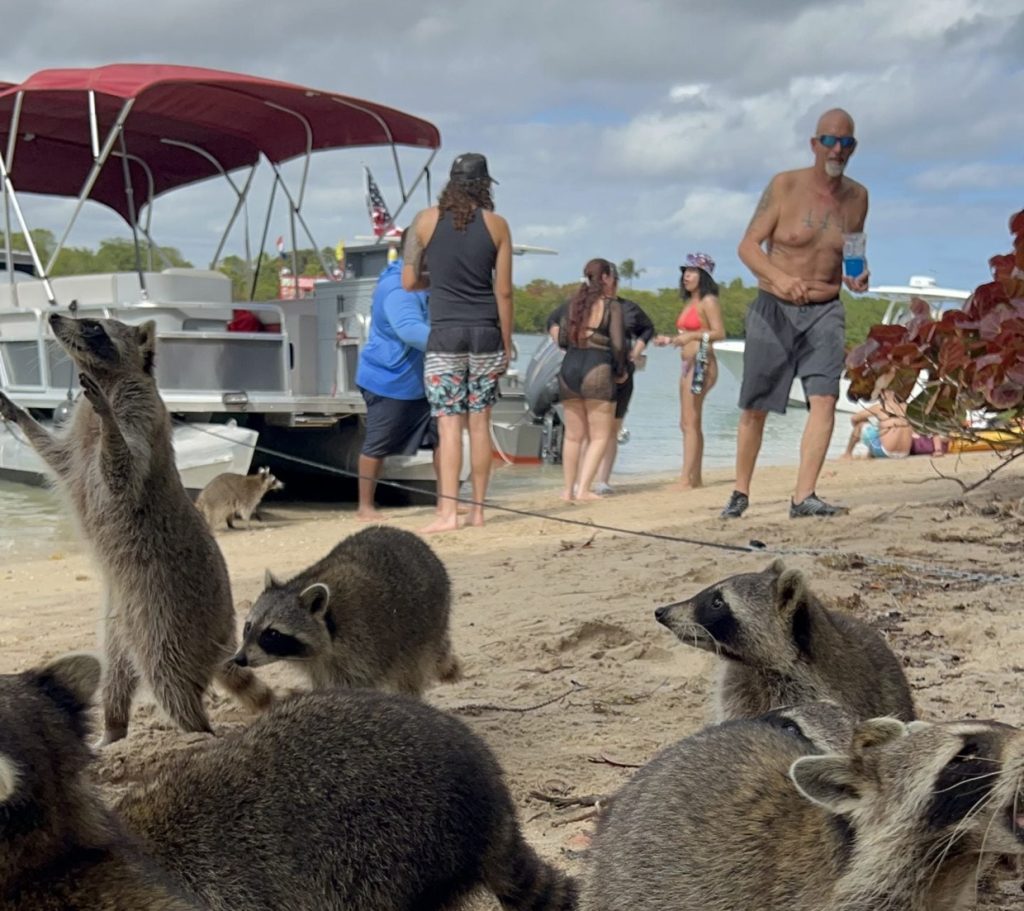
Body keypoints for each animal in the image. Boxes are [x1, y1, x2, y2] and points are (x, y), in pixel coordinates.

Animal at [0, 315, 272, 743]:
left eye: (92, 326)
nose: (54, 317)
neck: (109, 376)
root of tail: (221, 642)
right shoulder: (76, 445)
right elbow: (55, 455)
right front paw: (16, 412)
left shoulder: (139, 412)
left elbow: (123, 469)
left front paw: (108, 422)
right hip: (120, 625)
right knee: (115, 675)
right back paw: (113, 731)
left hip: (170, 619)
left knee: (168, 677)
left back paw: (197, 731)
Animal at [233, 524, 461, 695]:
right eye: (248, 627)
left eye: (272, 633)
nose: (239, 659)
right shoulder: (319, 665)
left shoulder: (362, 647)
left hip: (426, 631)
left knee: (409, 674)